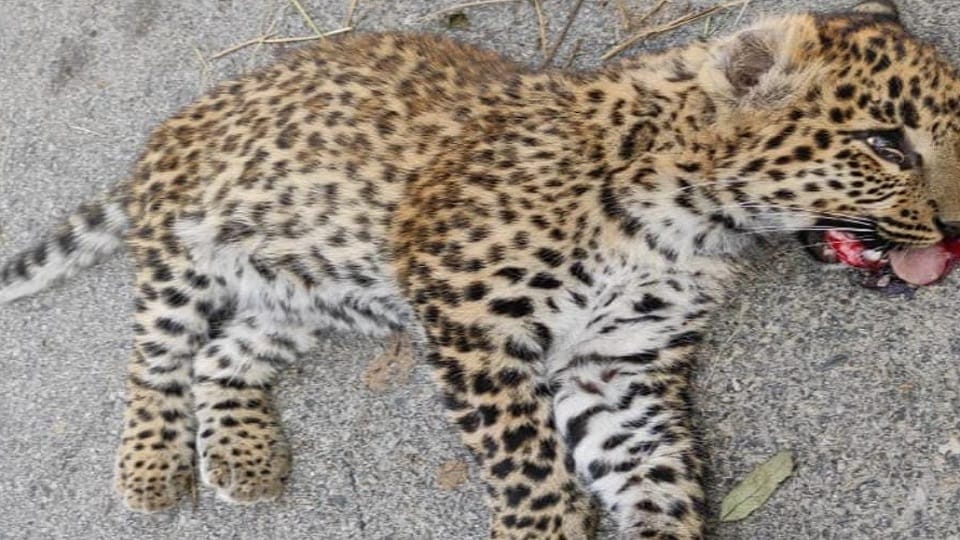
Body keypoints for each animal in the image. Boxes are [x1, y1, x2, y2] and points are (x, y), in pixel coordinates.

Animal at [2, 0, 959, 538]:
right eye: (885, 144)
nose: (955, 225)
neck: (691, 226)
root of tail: (172, 130)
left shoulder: (615, 366)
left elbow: (654, 473)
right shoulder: (469, 317)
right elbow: (529, 467)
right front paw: (542, 527)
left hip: (305, 295)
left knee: (222, 355)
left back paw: (242, 457)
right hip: (185, 254)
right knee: (157, 357)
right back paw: (152, 469)